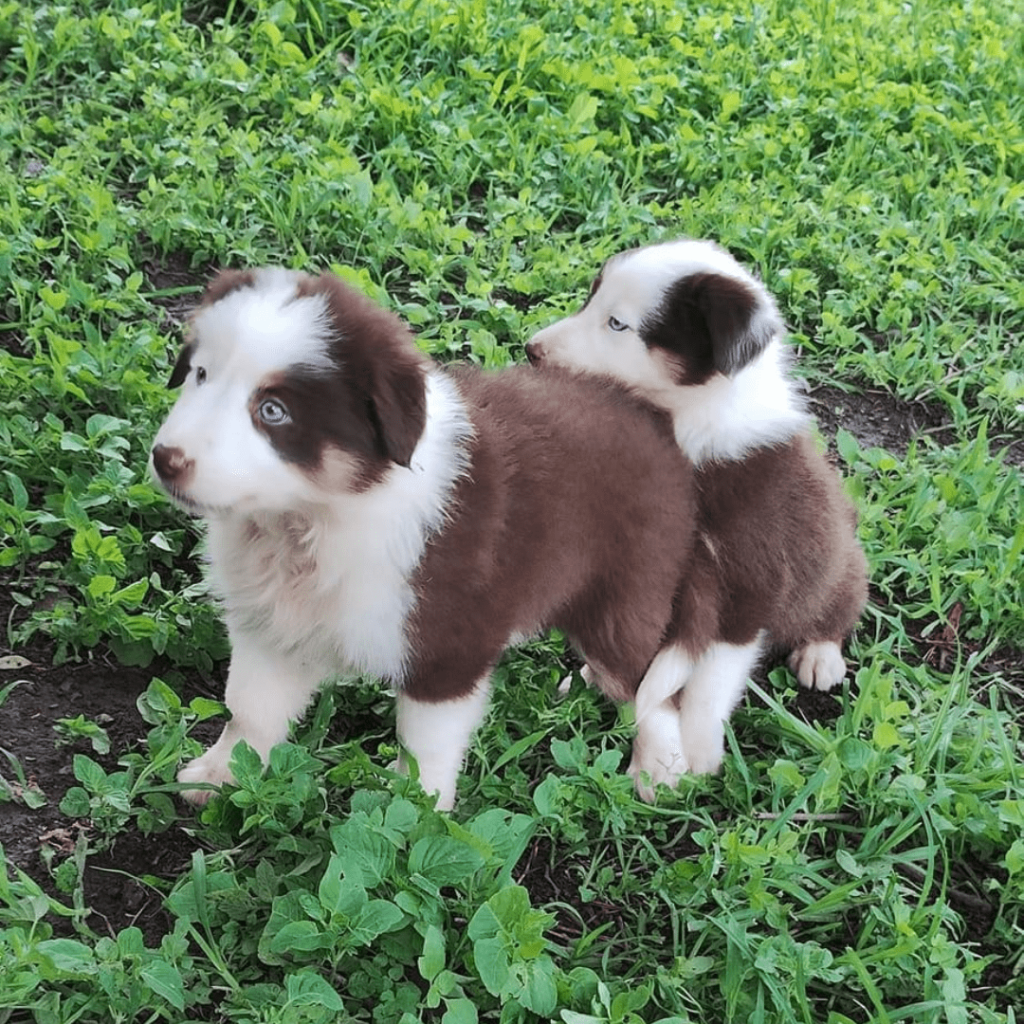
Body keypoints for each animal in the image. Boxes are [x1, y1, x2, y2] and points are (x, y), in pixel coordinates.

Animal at [151, 268, 696, 811]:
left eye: (272, 411)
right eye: (200, 375)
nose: (165, 459)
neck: (311, 520)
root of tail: (650, 411)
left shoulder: (446, 647)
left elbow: (425, 748)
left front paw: (419, 809)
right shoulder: (270, 625)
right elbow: (250, 708)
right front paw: (219, 775)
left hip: (624, 592)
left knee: (652, 684)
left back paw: (661, 768)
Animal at [528, 241, 872, 798]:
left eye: (618, 324)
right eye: (590, 300)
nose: (531, 350)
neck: (688, 425)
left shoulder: (751, 581)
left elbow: (712, 676)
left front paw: (698, 750)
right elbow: (647, 674)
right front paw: (659, 759)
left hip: (835, 553)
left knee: (838, 601)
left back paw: (820, 656)